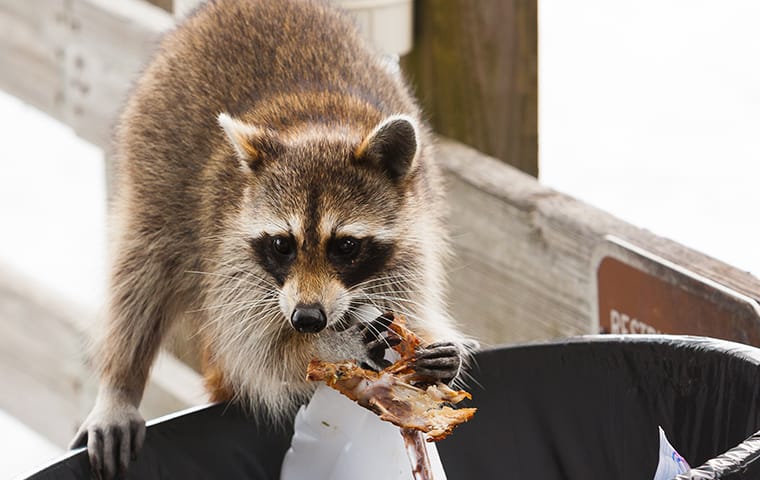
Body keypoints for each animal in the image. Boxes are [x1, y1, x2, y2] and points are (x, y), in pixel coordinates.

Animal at [74, 0, 472, 478]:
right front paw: (325, 345)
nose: (307, 319)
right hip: (155, 162)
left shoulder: (412, 240)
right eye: (284, 244)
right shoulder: (231, 255)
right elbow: (258, 352)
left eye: (345, 246)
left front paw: (439, 350)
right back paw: (120, 384)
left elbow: (410, 304)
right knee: (141, 268)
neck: (320, 126)